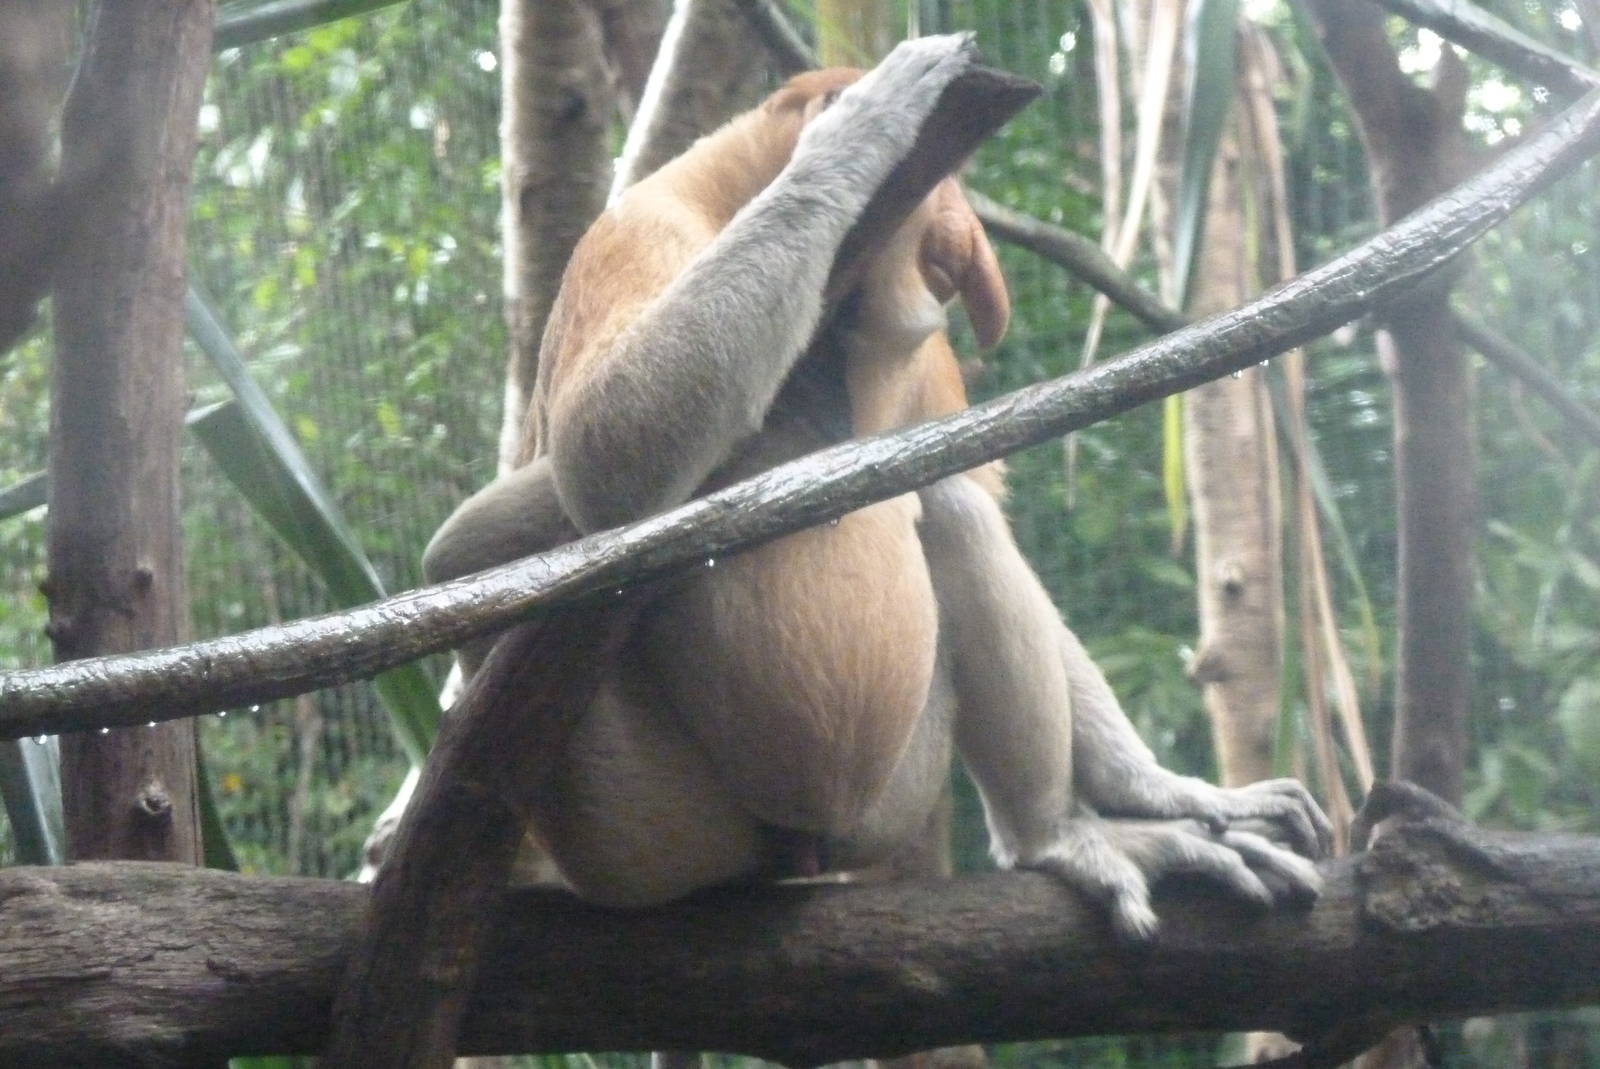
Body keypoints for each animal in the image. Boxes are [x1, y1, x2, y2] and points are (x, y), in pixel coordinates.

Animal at [423, 35, 1330, 941]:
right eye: (940, 182)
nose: (971, 249)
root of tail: (794, 851)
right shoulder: (633, 230)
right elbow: (600, 460)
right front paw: (861, 132)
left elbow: (956, 477)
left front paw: (1167, 788)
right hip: (645, 828)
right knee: (475, 541)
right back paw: (1061, 839)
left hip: (890, 794)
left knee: (956, 511)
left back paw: (1069, 832)